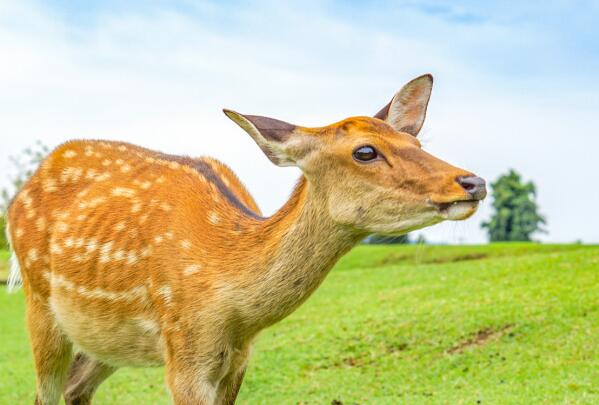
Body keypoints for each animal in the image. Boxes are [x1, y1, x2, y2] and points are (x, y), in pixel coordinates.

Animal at [5, 73, 488, 404]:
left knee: (75, 387)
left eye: (418, 142)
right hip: (39, 305)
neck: (233, 306)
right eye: (365, 151)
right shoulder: (184, 352)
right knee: (46, 391)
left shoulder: (239, 357)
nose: (473, 181)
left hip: (104, 339)